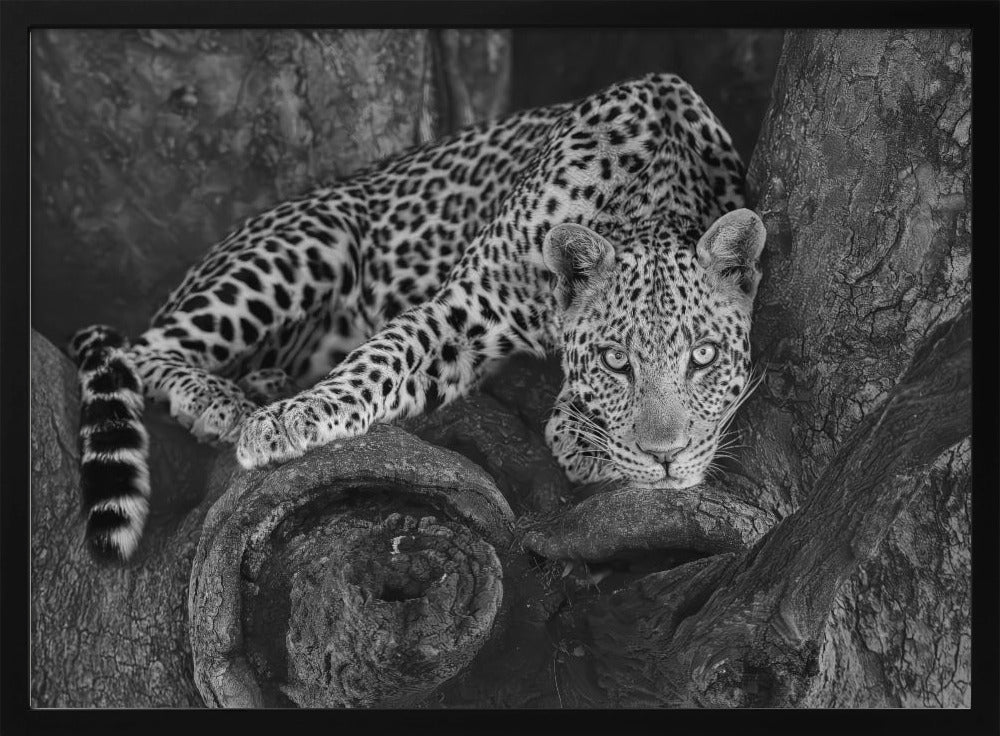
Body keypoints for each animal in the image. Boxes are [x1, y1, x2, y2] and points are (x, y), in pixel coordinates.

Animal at [70, 72, 765, 563]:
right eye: (617, 362)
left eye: (703, 357)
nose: (667, 458)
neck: (650, 192)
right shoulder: (463, 308)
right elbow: (380, 358)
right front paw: (288, 423)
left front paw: (582, 433)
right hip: (309, 241)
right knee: (142, 348)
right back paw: (224, 403)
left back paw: (263, 382)